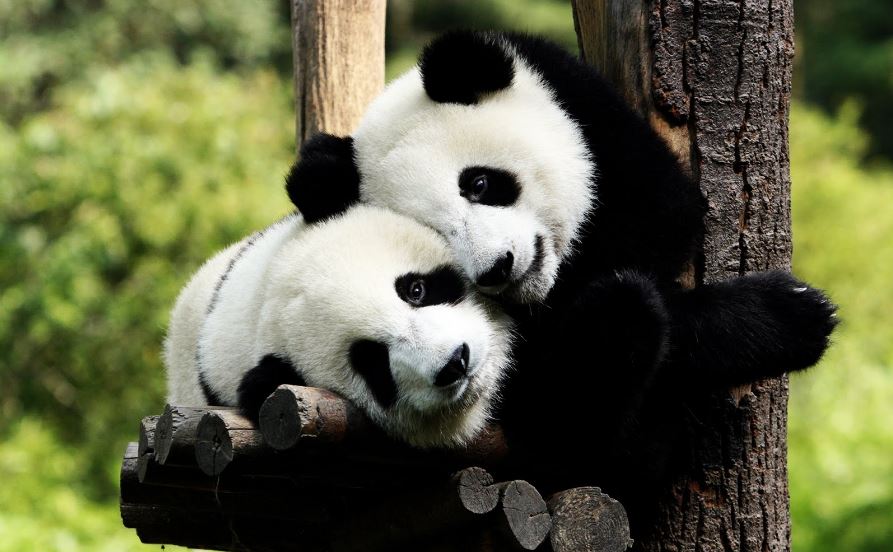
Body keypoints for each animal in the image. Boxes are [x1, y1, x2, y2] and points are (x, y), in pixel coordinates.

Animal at [282, 31, 838, 529]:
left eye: (479, 183)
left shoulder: (593, 121)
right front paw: (791, 316)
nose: (498, 267)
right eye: (437, 235)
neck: (550, 283)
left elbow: (664, 219)